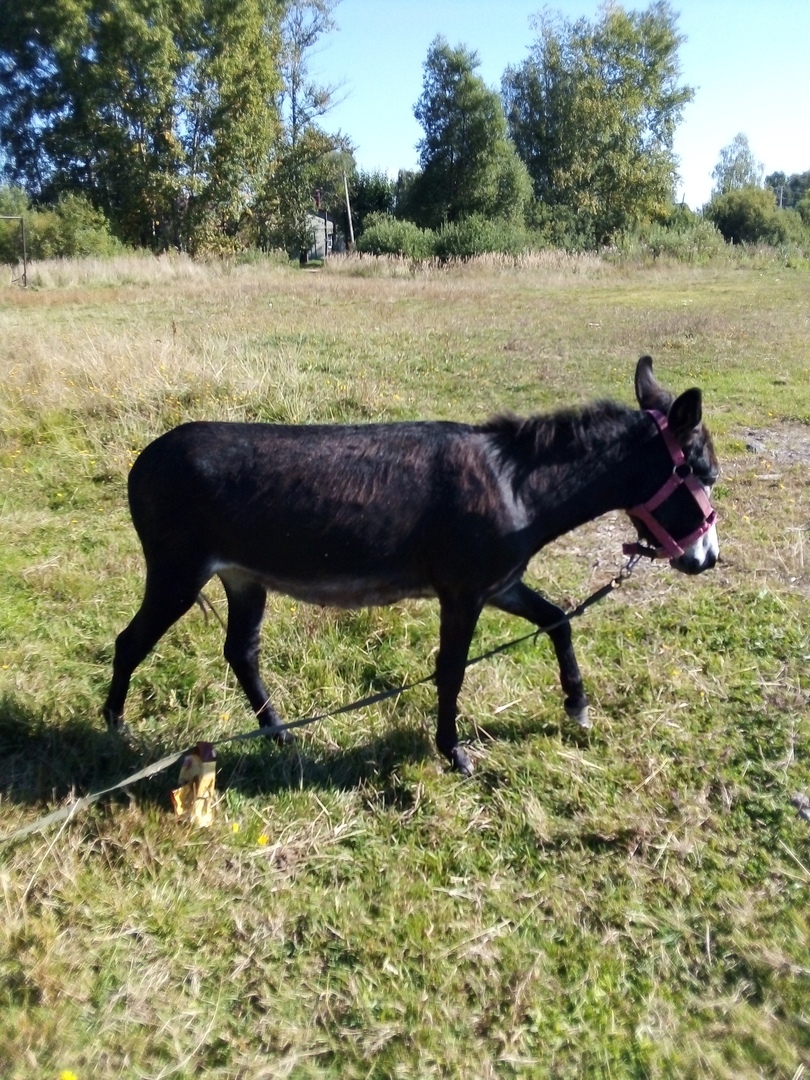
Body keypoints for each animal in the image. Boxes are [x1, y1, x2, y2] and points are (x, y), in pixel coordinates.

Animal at [103, 356, 719, 776]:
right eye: (705, 472)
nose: (709, 560)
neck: (516, 487)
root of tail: (145, 457)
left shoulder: (500, 583)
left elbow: (558, 620)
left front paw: (577, 707)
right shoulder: (463, 592)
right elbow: (452, 669)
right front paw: (454, 753)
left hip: (244, 576)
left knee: (241, 651)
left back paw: (276, 732)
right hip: (178, 571)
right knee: (130, 642)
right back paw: (115, 730)